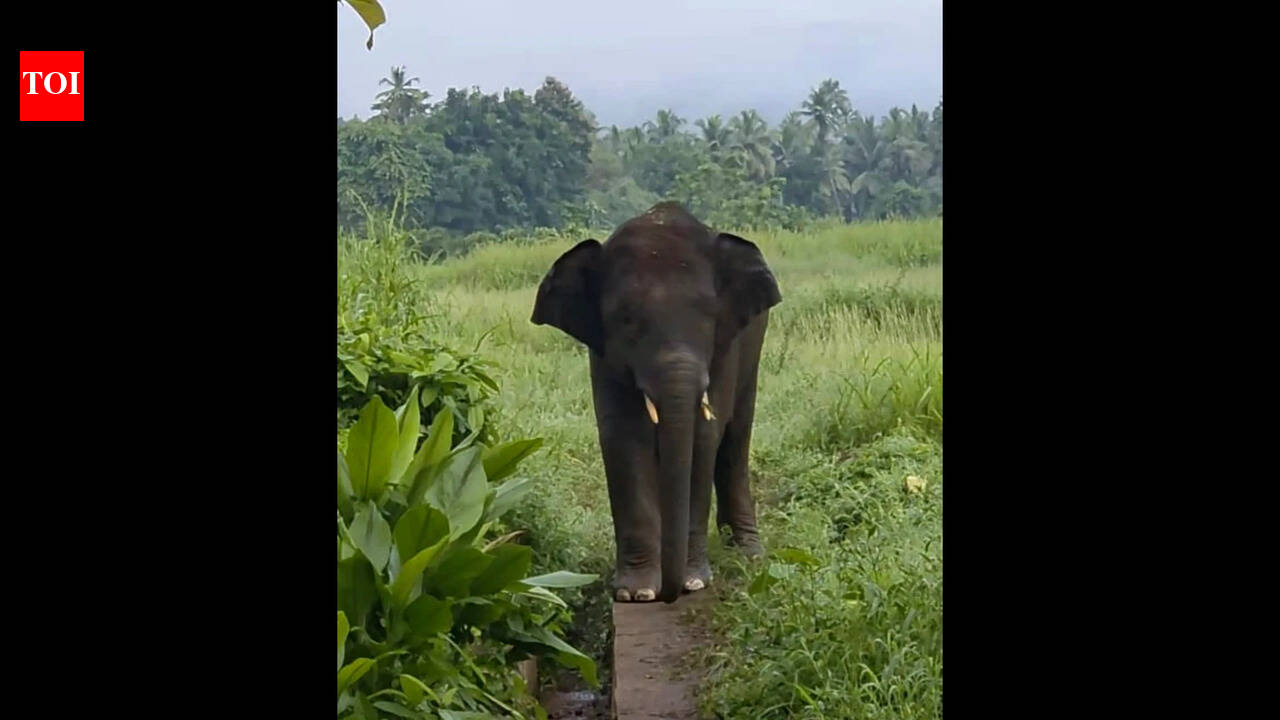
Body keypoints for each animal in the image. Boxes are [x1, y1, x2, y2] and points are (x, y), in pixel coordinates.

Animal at [531, 202, 781, 603]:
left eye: (709, 316)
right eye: (626, 320)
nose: (670, 593)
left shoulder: (726, 347)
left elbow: (704, 437)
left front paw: (693, 582)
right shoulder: (604, 355)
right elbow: (623, 437)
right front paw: (638, 592)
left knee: (736, 438)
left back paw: (748, 555)